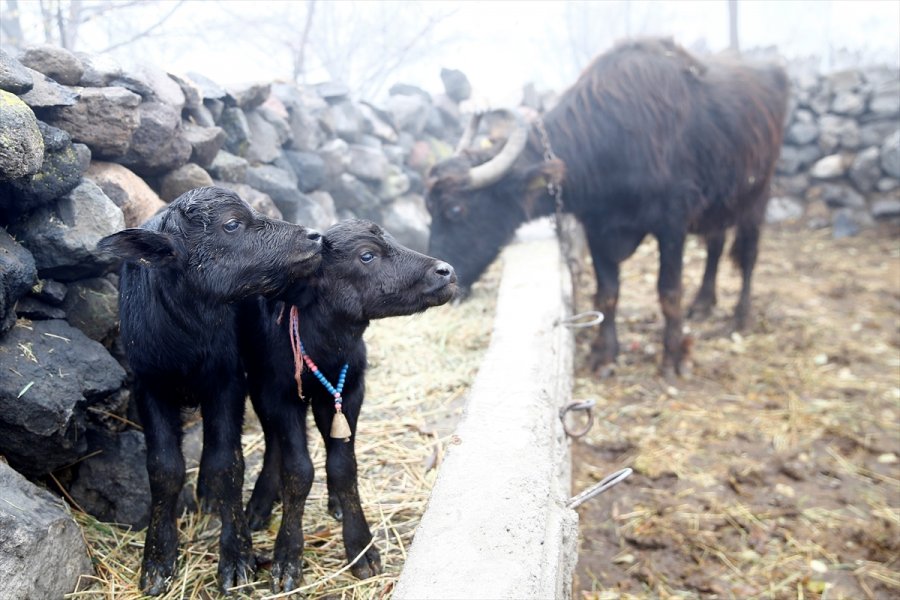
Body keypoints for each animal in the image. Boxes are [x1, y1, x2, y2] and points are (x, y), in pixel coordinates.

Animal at [97, 188, 324, 596]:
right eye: (232, 224)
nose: (315, 236)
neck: (186, 337)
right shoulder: (148, 386)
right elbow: (164, 467)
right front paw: (157, 561)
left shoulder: (228, 380)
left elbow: (228, 463)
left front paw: (236, 559)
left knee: (271, 435)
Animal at [237, 219, 458, 592]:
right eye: (366, 255)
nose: (447, 271)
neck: (326, 346)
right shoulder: (278, 395)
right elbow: (298, 471)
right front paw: (287, 558)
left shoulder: (352, 391)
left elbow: (343, 467)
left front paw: (361, 548)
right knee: (273, 442)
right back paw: (260, 504)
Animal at [426, 37, 784, 378]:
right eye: (429, 210)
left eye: (455, 210)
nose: (447, 275)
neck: (614, 141)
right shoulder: (597, 228)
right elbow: (607, 292)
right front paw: (604, 354)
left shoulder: (672, 224)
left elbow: (669, 292)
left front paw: (674, 356)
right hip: (717, 204)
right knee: (715, 245)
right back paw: (703, 303)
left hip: (758, 194)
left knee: (748, 255)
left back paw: (739, 317)